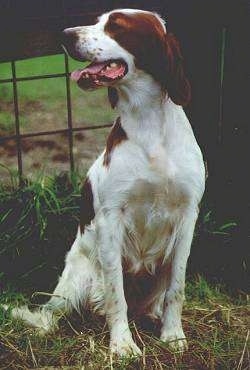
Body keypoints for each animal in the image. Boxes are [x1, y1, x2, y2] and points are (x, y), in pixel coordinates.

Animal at [9, 8, 205, 356]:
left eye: (116, 25)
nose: (65, 34)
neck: (149, 127)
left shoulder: (187, 216)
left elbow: (177, 288)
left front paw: (173, 336)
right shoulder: (112, 218)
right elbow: (116, 293)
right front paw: (123, 345)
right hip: (74, 281)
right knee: (52, 313)